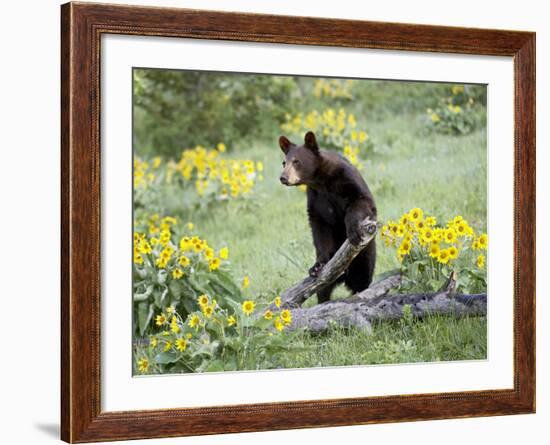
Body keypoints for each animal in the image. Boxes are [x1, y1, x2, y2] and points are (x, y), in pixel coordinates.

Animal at [282, 129, 378, 302]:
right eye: (284, 163)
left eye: (296, 161)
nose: (283, 177)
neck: (321, 180)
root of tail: (344, 278)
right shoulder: (315, 197)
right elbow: (319, 227)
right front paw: (317, 266)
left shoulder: (347, 179)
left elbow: (362, 200)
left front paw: (352, 230)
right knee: (323, 290)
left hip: (366, 255)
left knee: (363, 278)